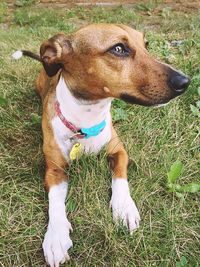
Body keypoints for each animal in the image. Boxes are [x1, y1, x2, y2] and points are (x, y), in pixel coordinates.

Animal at [12, 23, 191, 267]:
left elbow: (120, 178)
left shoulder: (120, 151)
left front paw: (124, 208)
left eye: (146, 45)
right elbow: (55, 201)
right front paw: (56, 235)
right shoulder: (54, 170)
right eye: (118, 48)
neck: (87, 120)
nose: (185, 82)